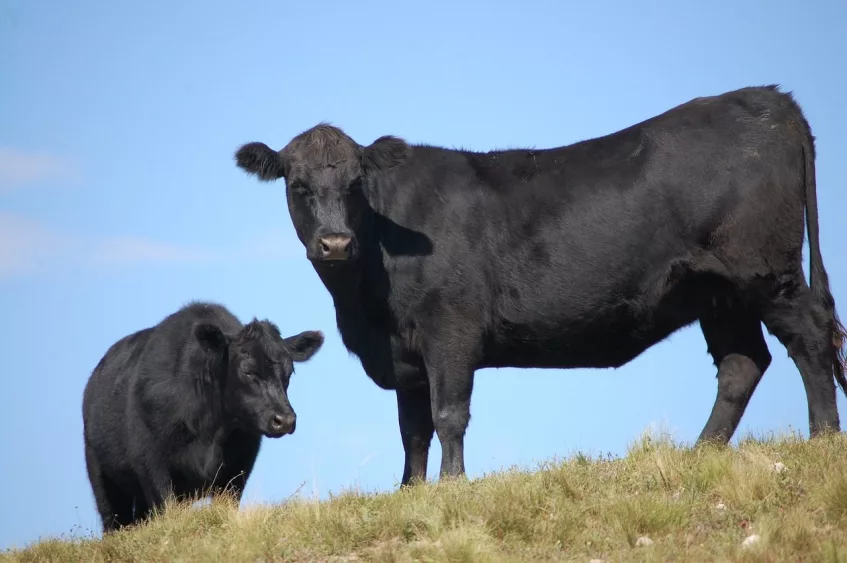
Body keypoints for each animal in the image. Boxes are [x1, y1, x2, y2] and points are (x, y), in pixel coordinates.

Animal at [82, 301, 324, 531]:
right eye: (247, 371)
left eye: (289, 372)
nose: (285, 420)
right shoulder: (149, 461)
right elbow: (166, 506)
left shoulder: (239, 465)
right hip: (102, 477)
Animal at [234, 85, 846, 485]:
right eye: (297, 184)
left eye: (355, 184)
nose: (335, 243)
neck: (365, 306)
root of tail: (768, 97)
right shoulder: (404, 351)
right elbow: (412, 429)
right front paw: (410, 491)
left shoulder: (450, 329)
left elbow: (448, 414)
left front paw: (454, 487)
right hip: (718, 292)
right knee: (742, 364)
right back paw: (700, 453)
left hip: (767, 272)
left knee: (810, 338)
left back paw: (823, 439)